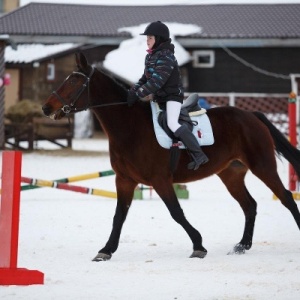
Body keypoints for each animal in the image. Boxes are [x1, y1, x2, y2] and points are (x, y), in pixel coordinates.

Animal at [42, 51, 300, 260]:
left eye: (74, 81)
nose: (46, 108)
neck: (130, 127)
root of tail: (251, 115)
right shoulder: (124, 180)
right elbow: (119, 216)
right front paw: (106, 250)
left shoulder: (160, 180)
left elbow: (176, 212)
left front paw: (198, 245)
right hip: (231, 174)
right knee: (249, 205)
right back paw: (242, 245)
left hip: (262, 166)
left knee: (286, 197)